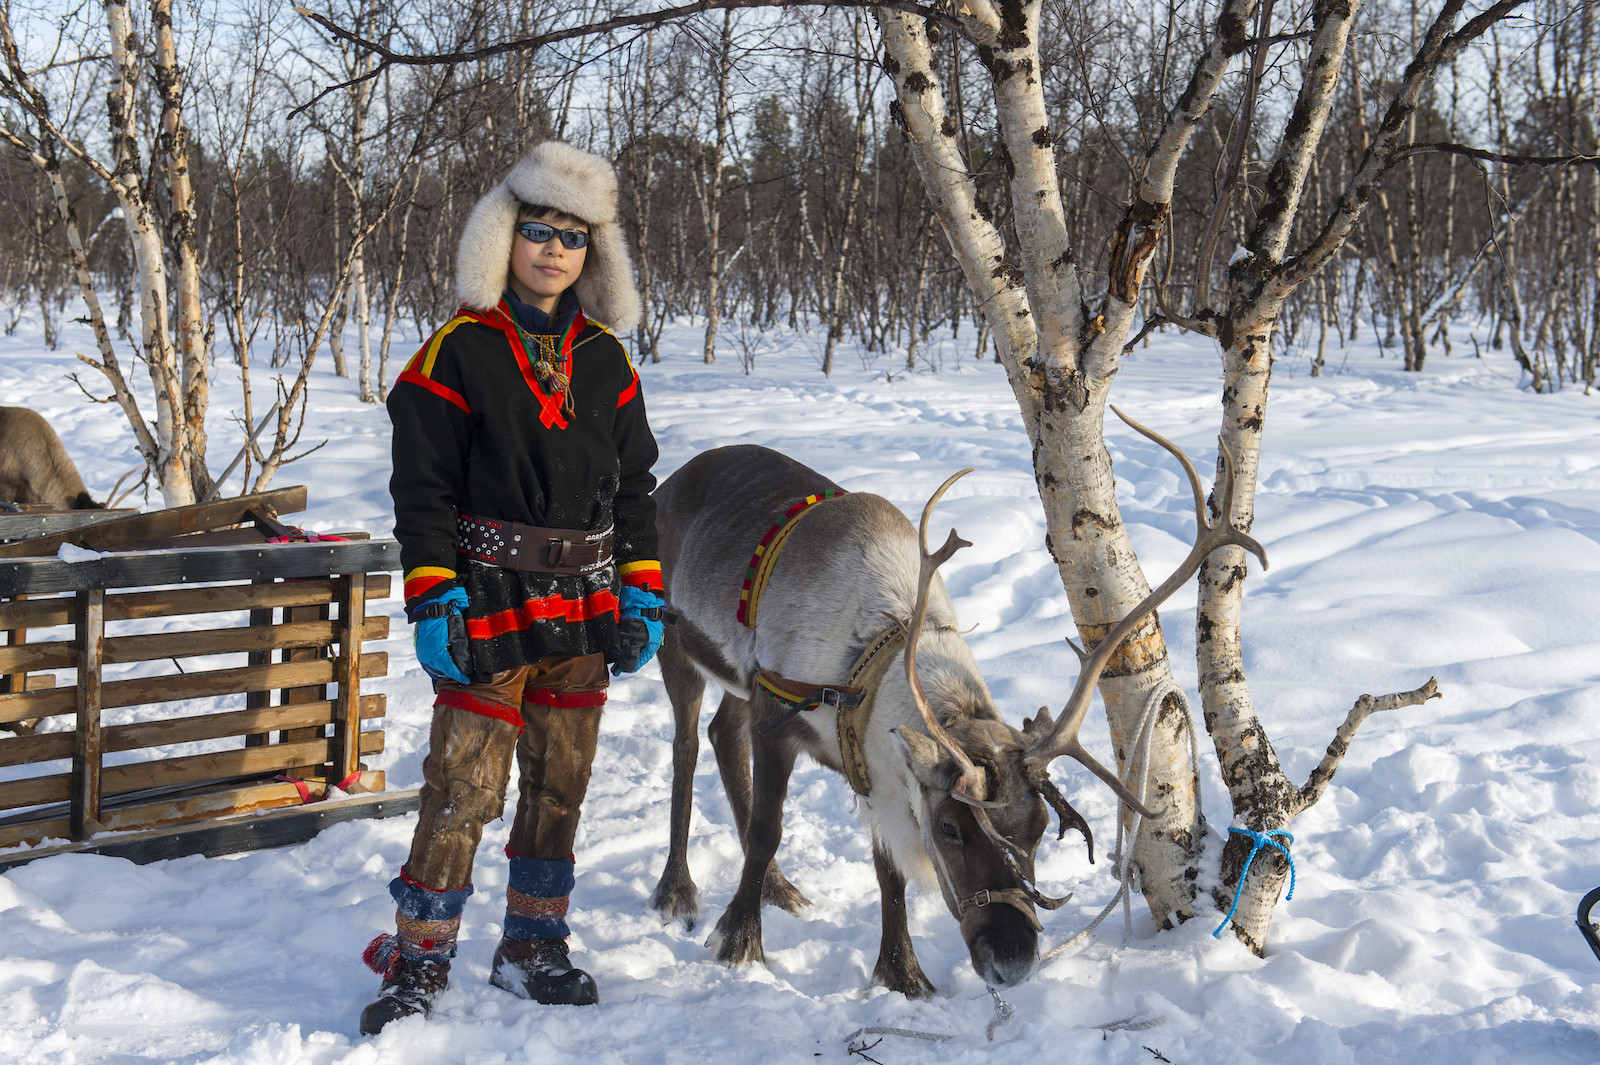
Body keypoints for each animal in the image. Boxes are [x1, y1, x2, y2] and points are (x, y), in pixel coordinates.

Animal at [647, 410, 1265, 996]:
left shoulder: (875, 768)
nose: (1013, 962)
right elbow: (767, 830)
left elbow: (888, 870)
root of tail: (669, 482)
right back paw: (677, 890)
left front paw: (902, 976)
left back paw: (778, 887)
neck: (876, 654)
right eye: (950, 829)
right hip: (674, 645)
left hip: (734, 681)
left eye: (1040, 828)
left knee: (722, 735)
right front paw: (738, 941)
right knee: (686, 746)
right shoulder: (777, 715)